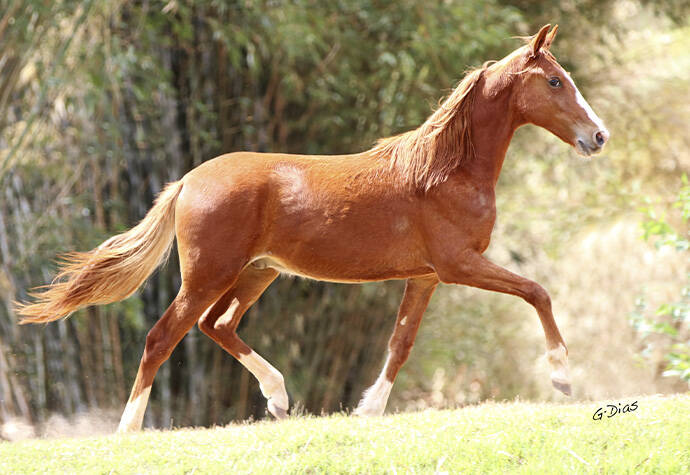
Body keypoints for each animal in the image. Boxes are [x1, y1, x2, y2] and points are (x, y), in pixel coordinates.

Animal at [17, 27, 608, 436]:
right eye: (555, 81)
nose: (598, 136)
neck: (445, 171)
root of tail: (186, 181)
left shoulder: (425, 277)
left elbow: (400, 343)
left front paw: (368, 410)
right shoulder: (459, 265)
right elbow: (537, 291)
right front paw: (562, 378)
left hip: (257, 273)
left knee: (216, 325)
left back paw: (278, 398)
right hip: (209, 274)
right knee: (163, 336)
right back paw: (129, 429)